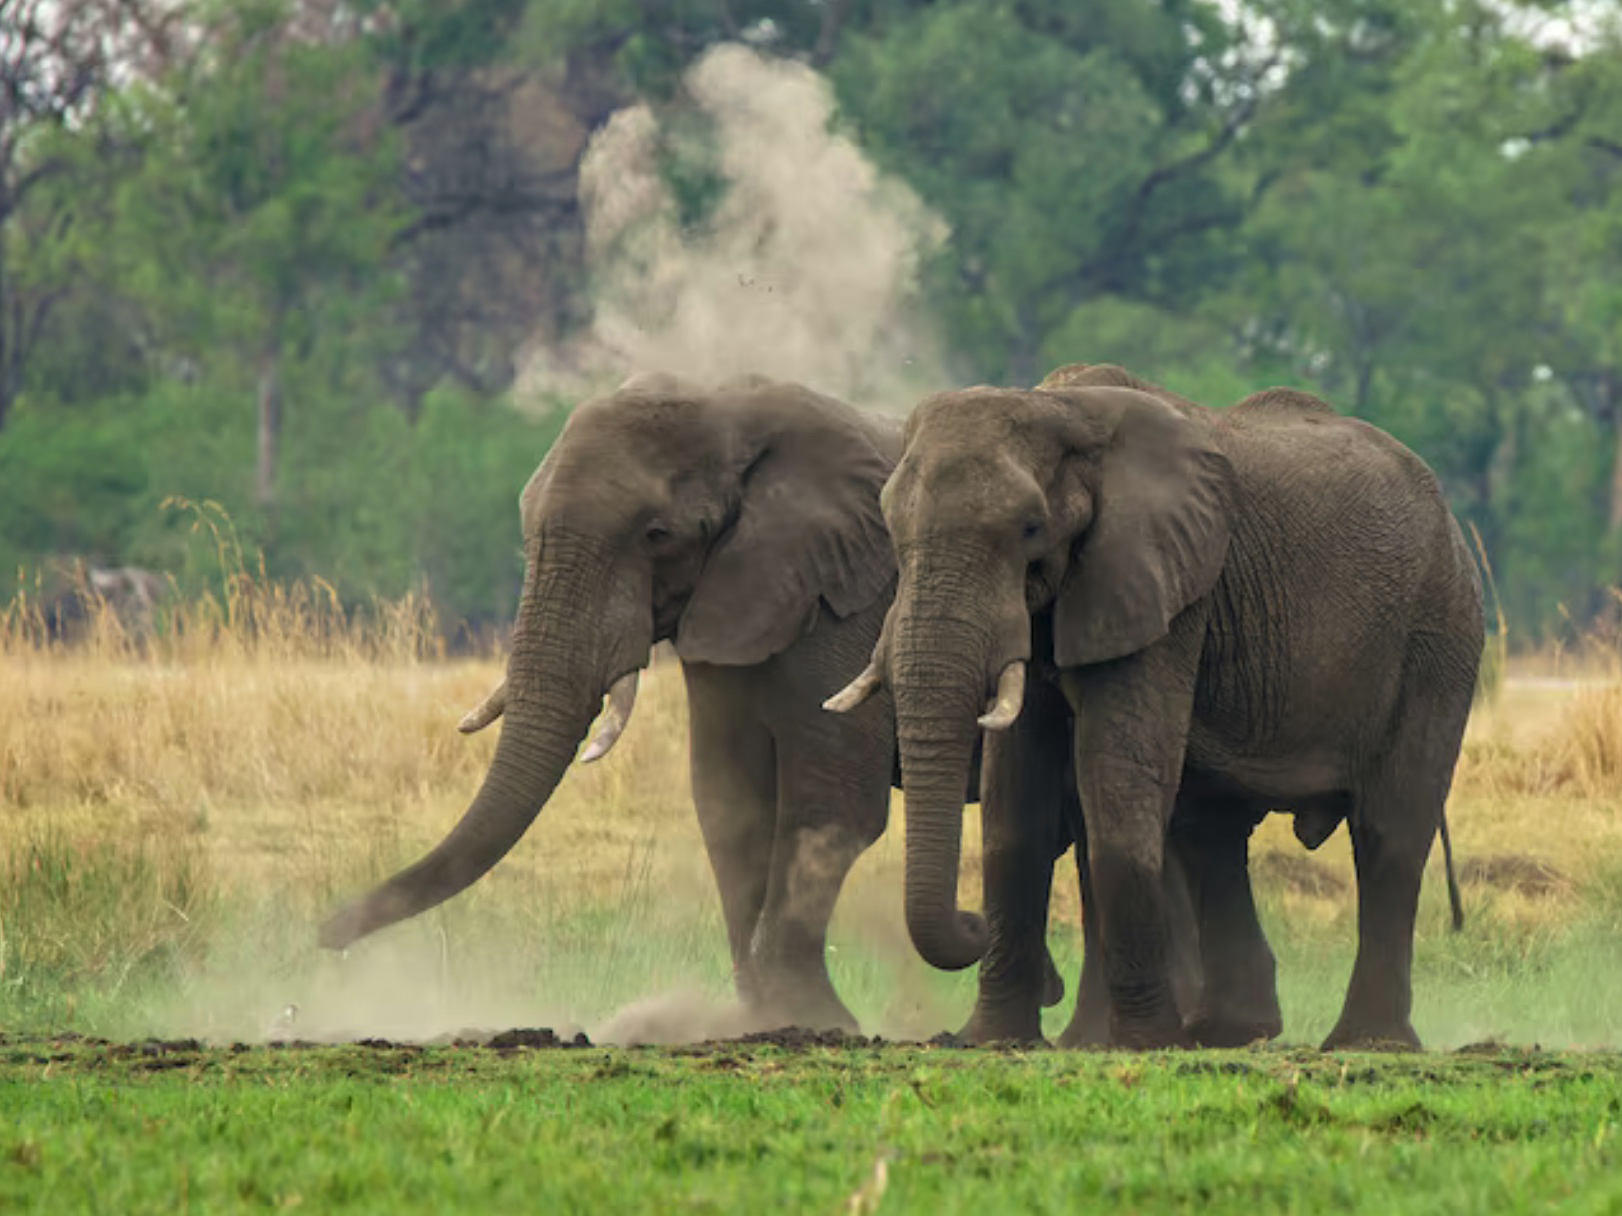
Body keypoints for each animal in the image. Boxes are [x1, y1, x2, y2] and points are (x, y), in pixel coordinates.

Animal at [317, 371, 1082, 1034]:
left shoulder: (844, 603)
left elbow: (829, 806)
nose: (325, 936)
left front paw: (817, 1021)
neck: (729, 411)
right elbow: (728, 803)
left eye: (657, 536)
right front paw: (765, 1018)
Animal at [828, 362, 1481, 1050]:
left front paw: (1138, 1042)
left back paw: (1365, 1042)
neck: (1061, 408)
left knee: (1389, 830)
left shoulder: (1162, 587)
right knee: (1212, 830)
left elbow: (1116, 777)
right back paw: (1227, 1031)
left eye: (1030, 529)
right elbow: (1016, 803)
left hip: (1438, 633)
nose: (971, 923)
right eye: (890, 529)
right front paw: (993, 1041)